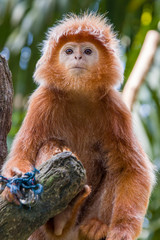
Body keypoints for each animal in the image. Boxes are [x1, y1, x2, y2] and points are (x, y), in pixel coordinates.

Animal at [0, 13, 154, 240]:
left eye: (88, 51)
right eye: (69, 51)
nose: (78, 58)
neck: (78, 95)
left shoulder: (116, 108)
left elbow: (132, 169)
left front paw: (122, 231)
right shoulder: (42, 101)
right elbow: (22, 154)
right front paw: (14, 183)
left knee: (114, 168)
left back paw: (95, 225)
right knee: (50, 144)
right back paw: (60, 218)